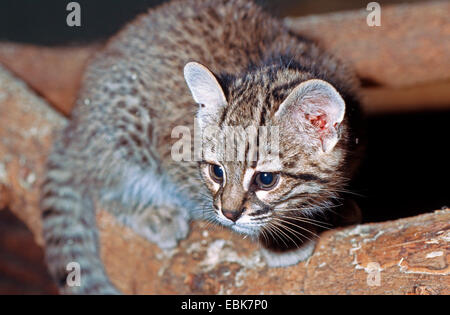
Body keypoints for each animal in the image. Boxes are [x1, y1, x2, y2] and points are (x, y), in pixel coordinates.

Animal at [40, 0, 364, 296]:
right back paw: (153, 215)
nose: (230, 214)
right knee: (105, 181)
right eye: (216, 172)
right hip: (124, 127)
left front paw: (334, 210)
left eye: (266, 179)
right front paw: (282, 242)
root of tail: (76, 124)